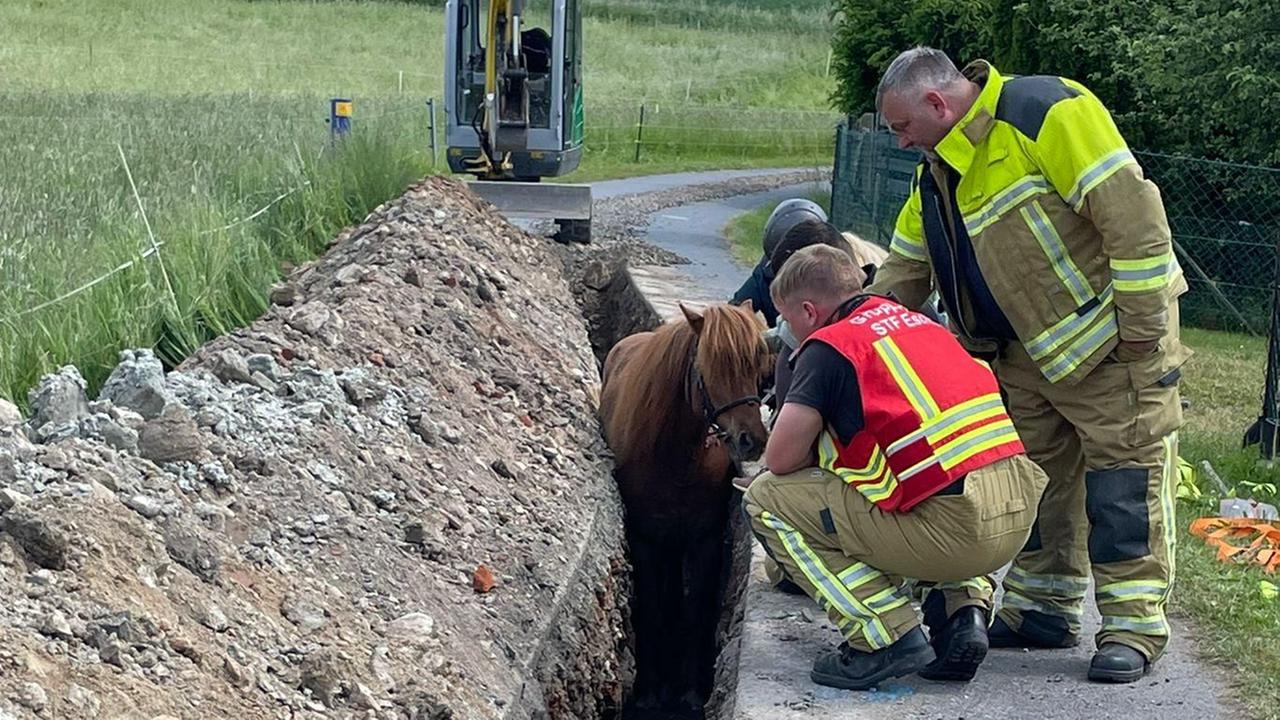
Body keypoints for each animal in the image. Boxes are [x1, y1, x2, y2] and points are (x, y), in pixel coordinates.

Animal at [599, 302, 773, 716]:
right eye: (709, 367)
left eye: (757, 367)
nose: (752, 441)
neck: (676, 456)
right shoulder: (645, 538)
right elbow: (649, 608)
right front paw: (649, 689)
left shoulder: (705, 537)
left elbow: (697, 609)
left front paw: (691, 689)